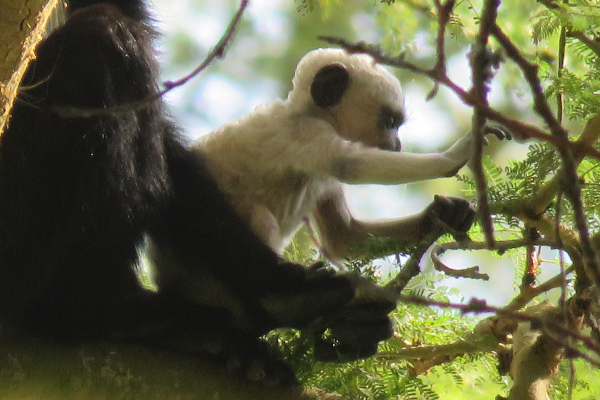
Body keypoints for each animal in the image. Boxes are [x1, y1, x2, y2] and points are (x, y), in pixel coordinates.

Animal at [193, 47, 506, 260]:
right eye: (389, 122)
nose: (398, 145)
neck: (307, 111)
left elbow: (344, 239)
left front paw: (444, 214)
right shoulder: (306, 132)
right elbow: (351, 164)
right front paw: (456, 155)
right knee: (260, 217)